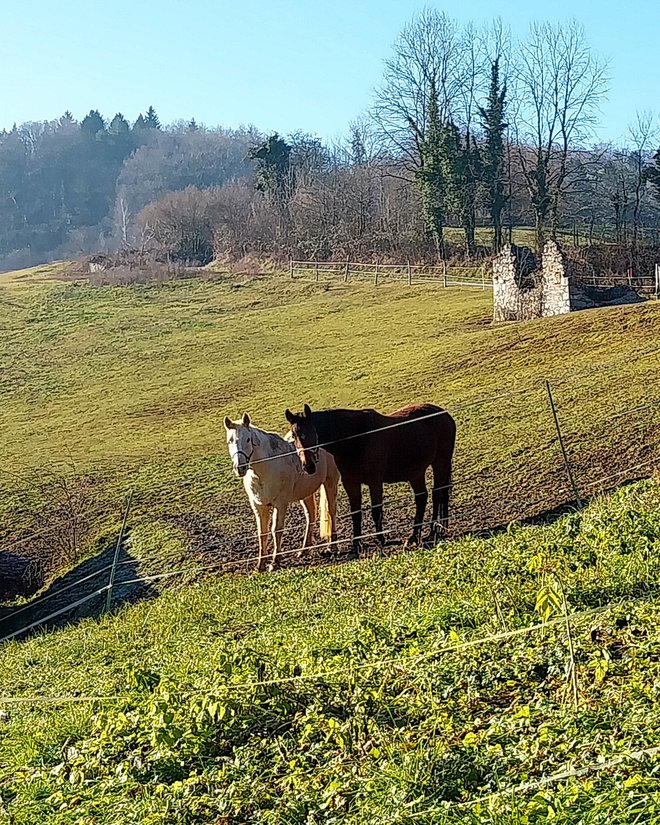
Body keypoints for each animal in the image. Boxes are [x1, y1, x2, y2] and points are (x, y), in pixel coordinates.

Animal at [226, 412, 340, 572]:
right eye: (229, 441)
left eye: (248, 439)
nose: (239, 468)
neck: (265, 468)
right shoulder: (259, 506)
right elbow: (262, 533)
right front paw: (260, 564)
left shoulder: (280, 504)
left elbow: (276, 530)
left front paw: (275, 562)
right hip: (306, 493)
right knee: (310, 516)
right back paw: (303, 550)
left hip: (330, 482)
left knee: (331, 512)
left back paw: (332, 546)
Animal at [282, 402, 456, 552]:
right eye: (294, 436)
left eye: (312, 432)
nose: (308, 466)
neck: (356, 438)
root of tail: (445, 415)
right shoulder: (351, 483)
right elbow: (356, 513)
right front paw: (356, 543)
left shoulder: (375, 482)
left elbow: (376, 511)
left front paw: (380, 539)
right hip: (416, 473)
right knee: (422, 497)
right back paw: (414, 536)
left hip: (440, 463)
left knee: (437, 493)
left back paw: (433, 531)